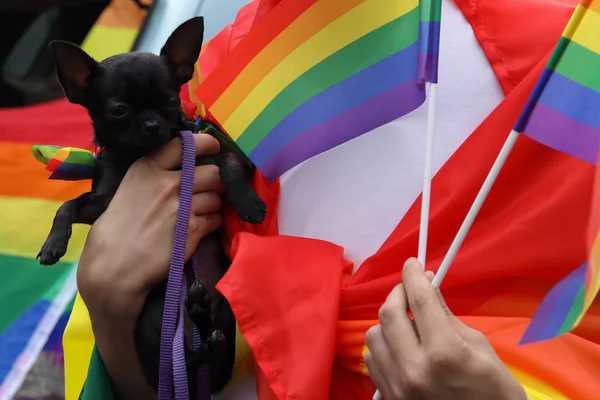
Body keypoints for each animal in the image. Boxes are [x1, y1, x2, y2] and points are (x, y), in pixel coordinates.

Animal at [36, 16, 264, 396]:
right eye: (119, 111)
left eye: (171, 102)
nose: (153, 124)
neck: (140, 156)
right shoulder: (104, 202)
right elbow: (67, 205)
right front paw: (53, 244)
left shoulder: (213, 152)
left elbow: (231, 167)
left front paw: (249, 203)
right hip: (148, 321)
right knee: (181, 362)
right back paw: (198, 327)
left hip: (226, 316)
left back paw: (202, 320)